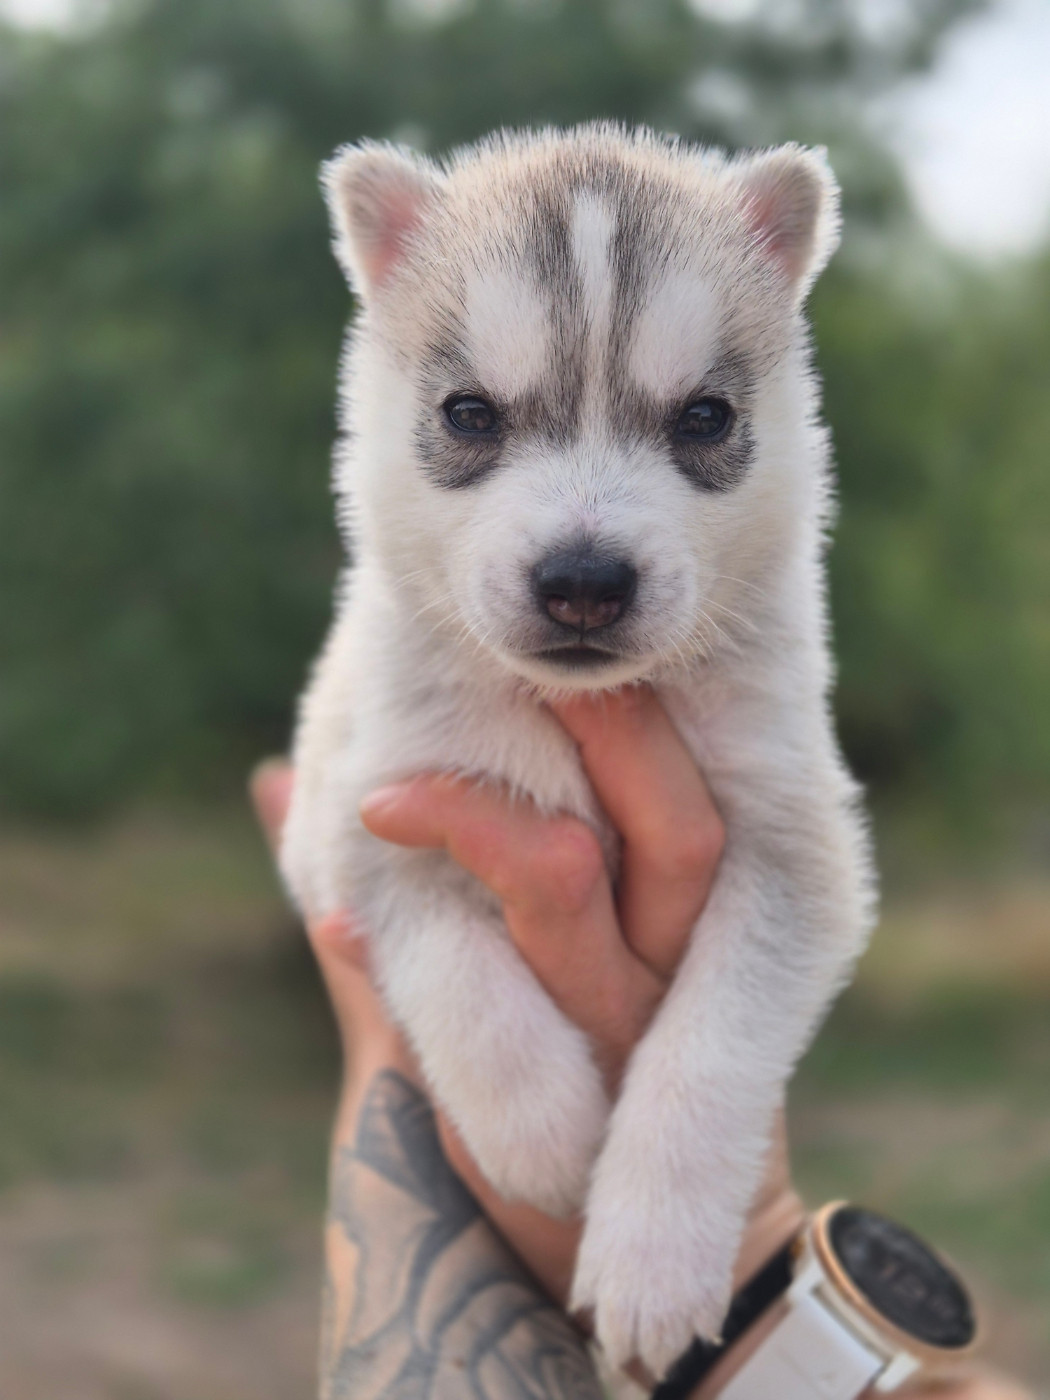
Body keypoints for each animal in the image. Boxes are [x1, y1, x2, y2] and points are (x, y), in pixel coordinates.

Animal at [281, 123, 875, 1375]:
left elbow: (708, 1044)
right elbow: (462, 979)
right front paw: (550, 1140)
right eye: (470, 414)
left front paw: (650, 1260)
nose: (586, 581)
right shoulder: (366, 823)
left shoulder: (798, 845)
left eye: (703, 417)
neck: (565, 703)